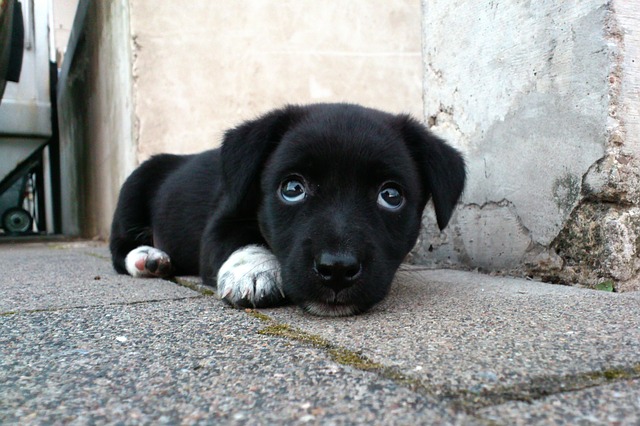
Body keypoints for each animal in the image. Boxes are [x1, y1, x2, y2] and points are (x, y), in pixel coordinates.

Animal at [107, 103, 462, 316]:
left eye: (391, 195)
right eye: (292, 189)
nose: (337, 269)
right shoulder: (220, 223)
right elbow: (242, 237)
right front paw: (253, 271)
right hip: (132, 188)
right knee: (119, 248)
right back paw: (148, 258)